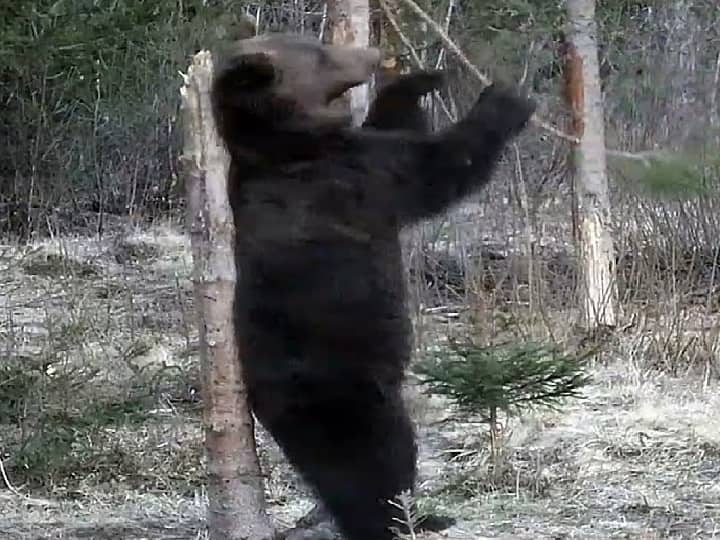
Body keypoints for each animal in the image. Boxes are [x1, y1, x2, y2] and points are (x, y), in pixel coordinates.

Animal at [210, 33, 536, 540]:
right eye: (321, 54)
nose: (370, 55)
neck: (287, 144)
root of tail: (267, 405)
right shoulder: (355, 176)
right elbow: (435, 168)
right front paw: (504, 99)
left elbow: (392, 124)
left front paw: (417, 81)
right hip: (347, 391)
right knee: (377, 462)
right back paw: (397, 522)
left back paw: (418, 516)